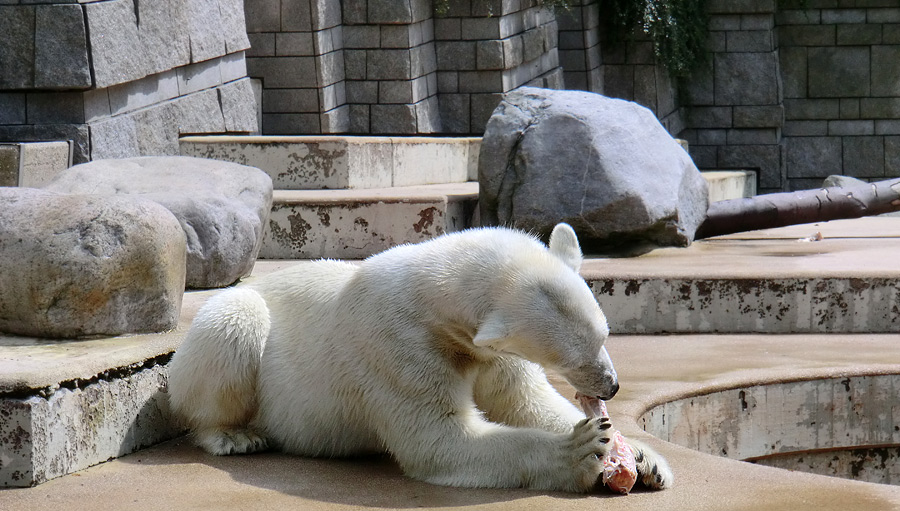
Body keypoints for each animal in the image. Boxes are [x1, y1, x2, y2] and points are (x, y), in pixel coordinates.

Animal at [169, 223, 672, 492]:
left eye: (604, 335)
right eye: (570, 358)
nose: (611, 386)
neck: (432, 297)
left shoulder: (482, 351)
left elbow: (527, 402)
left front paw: (643, 458)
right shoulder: (396, 345)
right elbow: (438, 439)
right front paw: (582, 449)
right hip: (227, 334)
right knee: (234, 321)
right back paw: (233, 435)